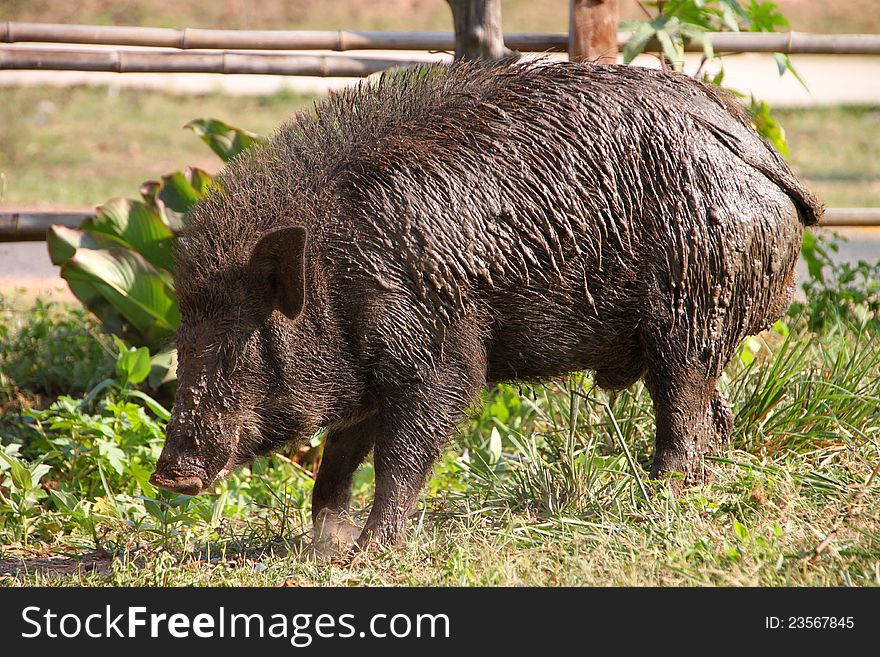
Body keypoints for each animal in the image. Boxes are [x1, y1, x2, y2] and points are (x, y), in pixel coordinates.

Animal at [151, 60, 824, 548]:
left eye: (242, 346)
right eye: (183, 342)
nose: (168, 474)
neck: (338, 278)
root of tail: (759, 150)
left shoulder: (438, 357)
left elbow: (403, 456)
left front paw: (368, 552)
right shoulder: (369, 377)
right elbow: (338, 460)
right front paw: (324, 547)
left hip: (688, 310)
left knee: (681, 408)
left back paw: (655, 496)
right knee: (713, 410)